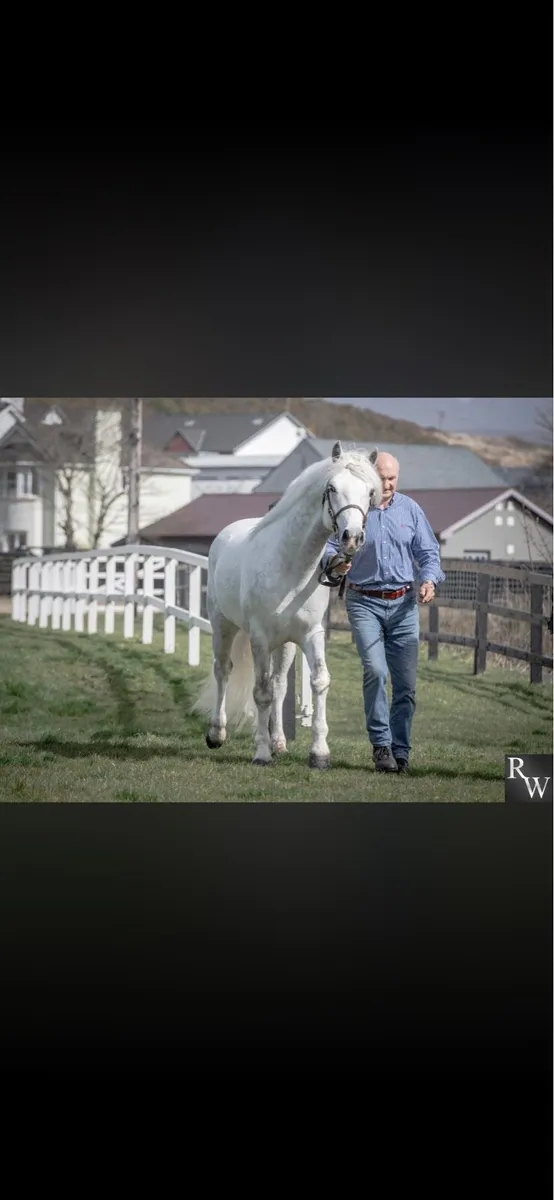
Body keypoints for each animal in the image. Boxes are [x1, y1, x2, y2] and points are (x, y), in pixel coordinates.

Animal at [191, 440, 383, 769]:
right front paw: (261, 753)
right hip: (223, 626)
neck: (291, 567)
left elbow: (318, 682)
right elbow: (261, 692)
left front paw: (319, 753)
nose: (352, 538)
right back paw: (217, 734)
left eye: (370, 491)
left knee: (280, 685)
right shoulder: (259, 638)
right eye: (331, 488)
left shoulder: (311, 635)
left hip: (286, 645)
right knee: (223, 671)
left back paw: (279, 742)